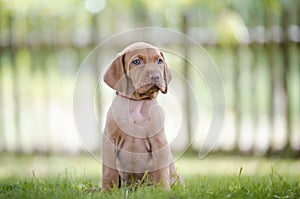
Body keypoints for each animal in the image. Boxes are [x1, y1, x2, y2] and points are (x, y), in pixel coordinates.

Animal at [101, 42, 180, 191]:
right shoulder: (109, 141)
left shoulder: (158, 141)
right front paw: (107, 191)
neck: (136, 103)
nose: (155, 76)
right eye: (137, 61)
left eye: (159, 61)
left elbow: (161, 172)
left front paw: (163, 191)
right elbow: (109, 172)